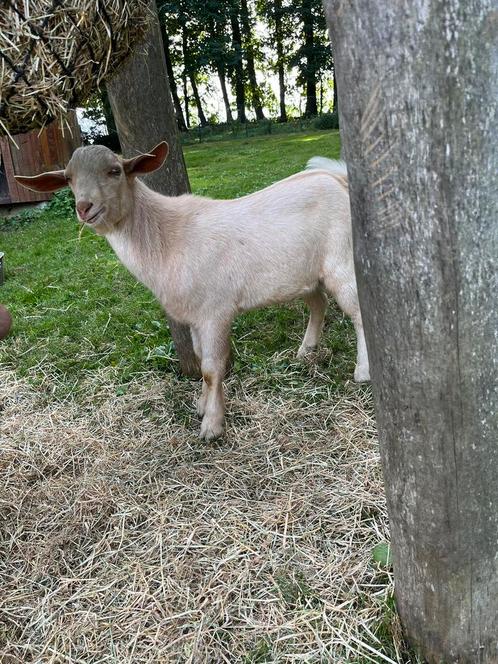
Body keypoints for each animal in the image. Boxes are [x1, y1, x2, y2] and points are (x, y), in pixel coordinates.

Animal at [15, 142, 370, 438]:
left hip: (341, 260)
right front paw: (202, 406)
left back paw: (363, 371)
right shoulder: (195, 316)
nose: (85, 207)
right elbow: (200, 361)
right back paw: (305, 351)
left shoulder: (215, 311)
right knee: (319, 303)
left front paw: (212, 425)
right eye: (68, 178)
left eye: (115, 171)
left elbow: (212, 368)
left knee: (358, 313)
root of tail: (337, 178)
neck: (166, 237)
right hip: (303, 273)